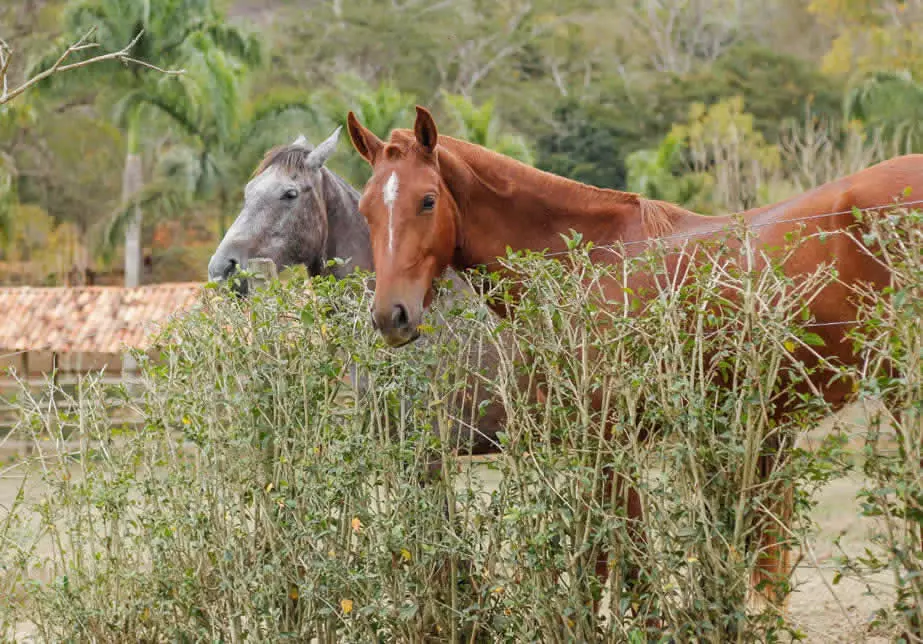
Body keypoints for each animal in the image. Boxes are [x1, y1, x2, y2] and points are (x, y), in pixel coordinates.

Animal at [344, 105, 923, 617]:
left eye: (426, 201)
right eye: (366, 210)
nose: (391, 316)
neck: (591, 261)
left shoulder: (611, 440)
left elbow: (628, 563)